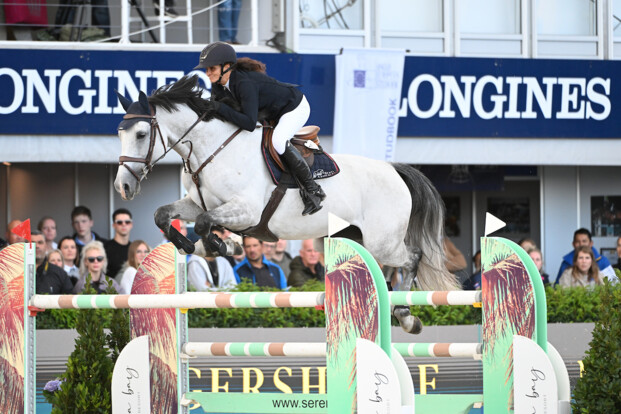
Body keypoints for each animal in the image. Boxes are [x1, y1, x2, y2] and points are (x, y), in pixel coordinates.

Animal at [114, 75, 458, 334]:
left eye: (141, 134)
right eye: (120, 134)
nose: (123, 187)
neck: (212, 149)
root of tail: (394, 170)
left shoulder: (247, 210)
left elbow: (204, 223)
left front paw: (223, 245)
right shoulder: (196, 203)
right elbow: (164, 215)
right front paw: (192, 245)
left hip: (383, 241)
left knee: (412, 257)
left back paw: (405, 314)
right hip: (358, 238)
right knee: (388, 267)